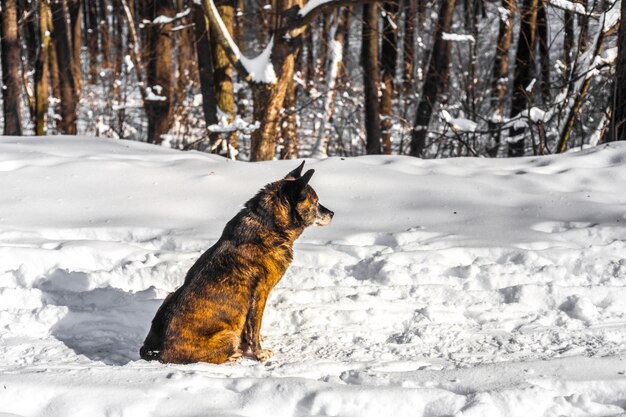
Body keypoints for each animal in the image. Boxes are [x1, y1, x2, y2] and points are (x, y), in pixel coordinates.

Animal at [138, 161, 332, 362]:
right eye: (316, 203)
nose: (332, 213)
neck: (270, 224)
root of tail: (158, 351)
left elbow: (250, 329)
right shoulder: (260, 294)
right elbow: (254, 328)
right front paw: (259, 353)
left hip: (169, 296)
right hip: (229, 336)